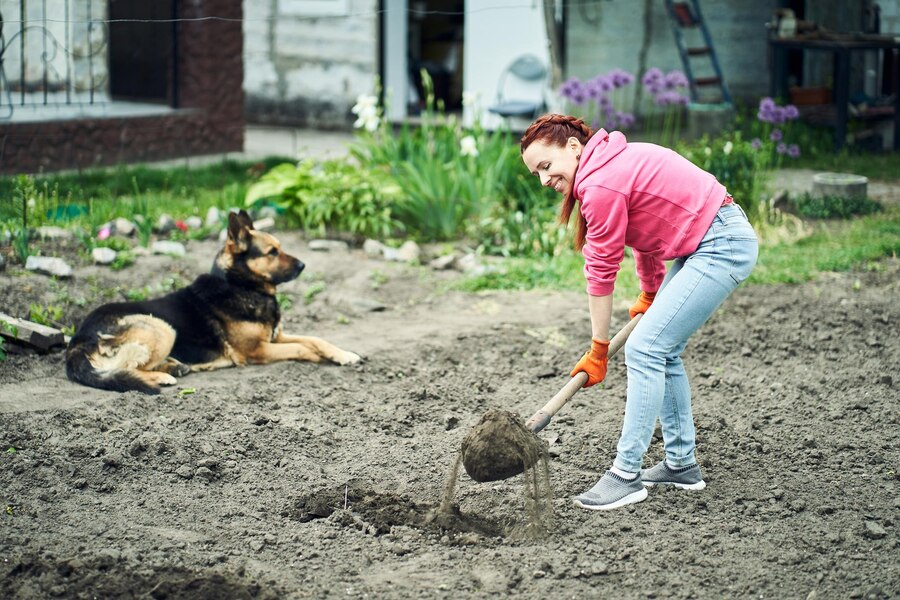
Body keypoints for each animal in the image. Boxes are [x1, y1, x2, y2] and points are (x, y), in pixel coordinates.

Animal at [65, 211, 360, 394]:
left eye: (280, 247)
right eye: (272, 252)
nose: (302, 265)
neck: (240, 286)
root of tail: (77, 340)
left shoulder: (276, 337)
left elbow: (316, 339)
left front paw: (345, 354)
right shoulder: (258, 350)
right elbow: (302, 347)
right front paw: (319, 358)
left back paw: (174, 366)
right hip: (160, 326)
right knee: (126, 369)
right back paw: (162, 375)